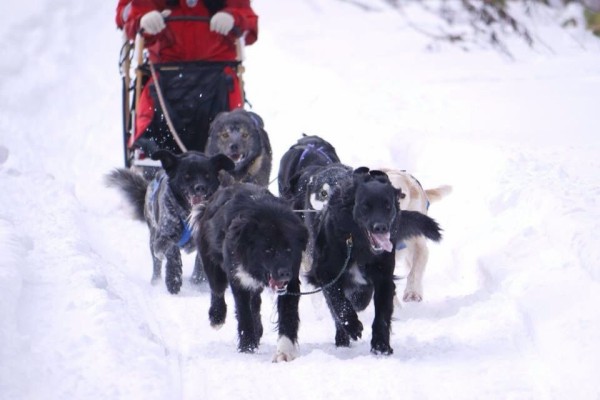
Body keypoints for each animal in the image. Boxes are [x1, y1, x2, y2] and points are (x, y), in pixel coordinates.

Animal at [104, 150, 233, 294]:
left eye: (207, 175)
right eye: (186, 176)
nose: (200, 187)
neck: (189, 215)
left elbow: (201, 263)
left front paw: (197, 280)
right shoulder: (164, 237)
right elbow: (172, 250)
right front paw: (173, 277)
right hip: (153, 239)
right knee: (157, 264)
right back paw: (155, 282)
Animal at [192, 181, 310, 360]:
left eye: (289, 249)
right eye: (268, 250)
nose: (284, 273)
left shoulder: (291, 282)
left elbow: (287, 315)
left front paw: (284, 352)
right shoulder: (238, 277)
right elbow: (244, 312)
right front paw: (247, 346)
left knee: (255, 302)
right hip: (210, 261)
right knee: (217, 289)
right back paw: (217, 317)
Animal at [308, 167, 442, 354]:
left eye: (388, 205)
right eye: (365, 206)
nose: (381, 227)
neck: (357, 245)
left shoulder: (384, 276)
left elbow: (383, 312)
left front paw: (381, 345)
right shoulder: (326, 272)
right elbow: (339, 301)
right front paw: (352, 325)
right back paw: (342, 337)